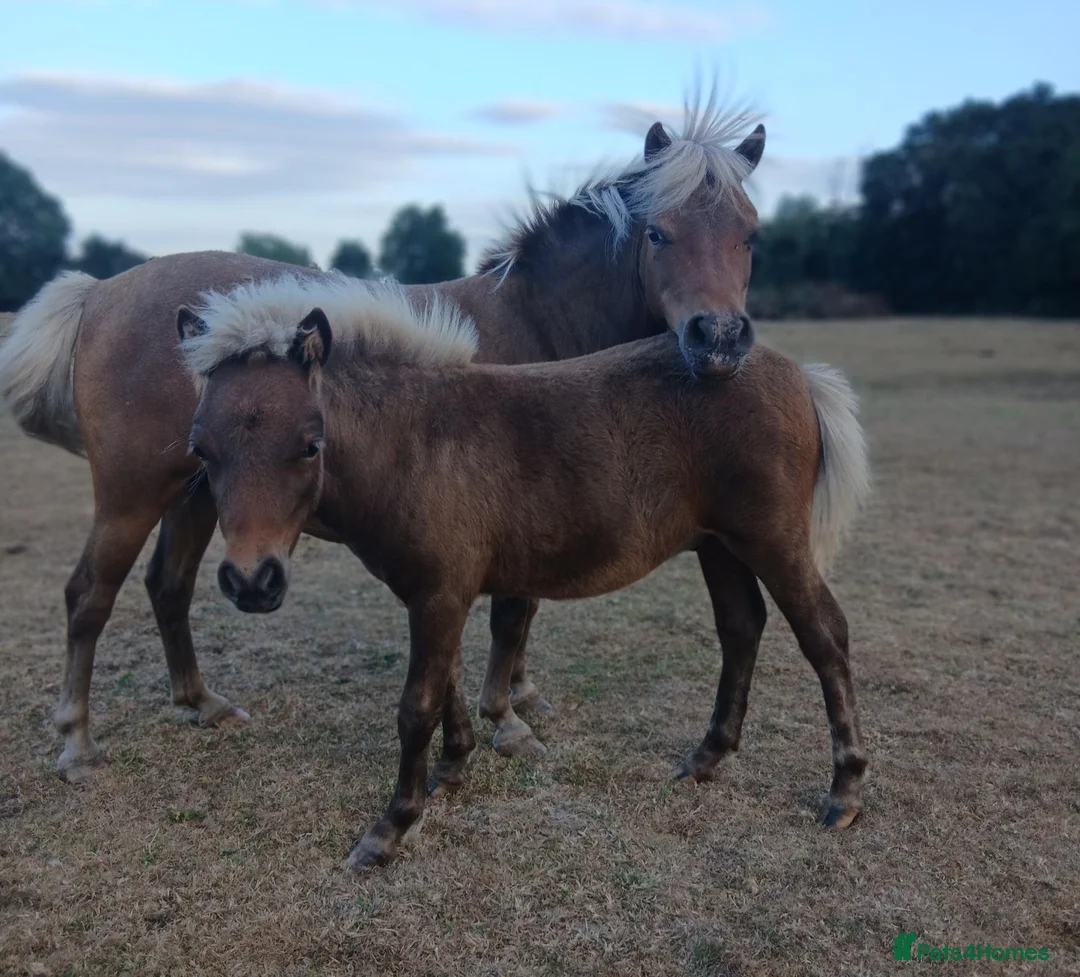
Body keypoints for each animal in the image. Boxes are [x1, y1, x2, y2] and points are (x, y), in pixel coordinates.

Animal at [0, 89, 771, 781]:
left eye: (751, 232)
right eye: (658, 232)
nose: (718, 338)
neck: (532, 322)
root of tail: (100, 291)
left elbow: (523, 609)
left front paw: (520, 698)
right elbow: (511, 615)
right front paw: (505, 720)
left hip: (196, 492)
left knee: (169, 584)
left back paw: (202, 703)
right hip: (130, 496)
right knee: (89, 596)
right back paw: (76, 743)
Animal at [176, 271, 870, 868]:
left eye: (309, 445)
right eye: (201, 449)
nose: (251, 582)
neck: (413, 443)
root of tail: (799, 375)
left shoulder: (440, 594)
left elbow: (416, 706)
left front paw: (390, 828)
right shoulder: (435, 592)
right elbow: (448, 684)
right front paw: (452, 770)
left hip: (773, 542)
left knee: (824, 636)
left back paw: (845, 792)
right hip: (718, 546)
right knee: (741, 626)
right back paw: (705, 759)